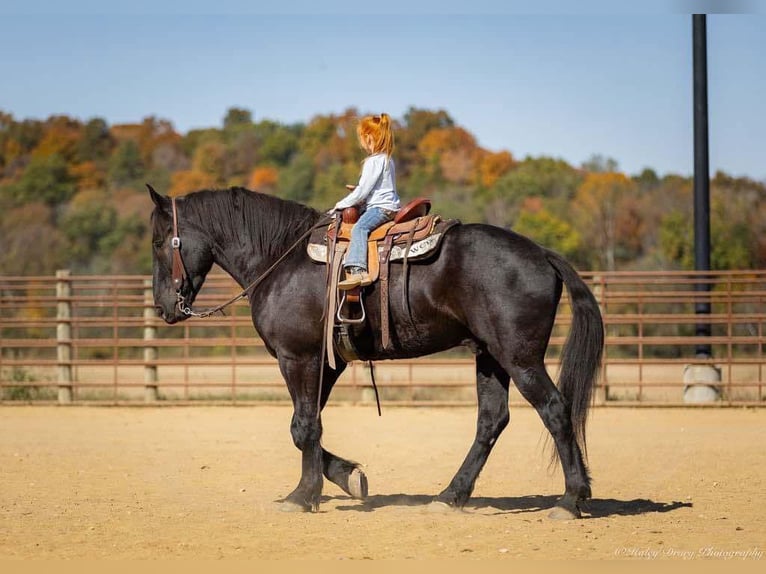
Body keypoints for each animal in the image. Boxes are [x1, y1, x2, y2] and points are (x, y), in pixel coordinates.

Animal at [150, 187, 608, 520]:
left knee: (554, 410)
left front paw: (303, 495)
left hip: (519, 358)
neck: (281, 259)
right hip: (490, 357)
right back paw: (451, 495)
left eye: (158, 243)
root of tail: (541, 254)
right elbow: (308, 427)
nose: (163, 307)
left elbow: (303, 427)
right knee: (491, 420)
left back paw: (571, 500)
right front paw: (348, 477)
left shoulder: (299, 358)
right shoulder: (327, 364)